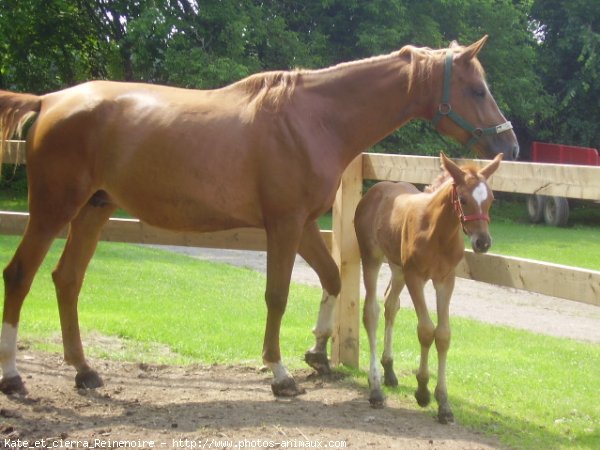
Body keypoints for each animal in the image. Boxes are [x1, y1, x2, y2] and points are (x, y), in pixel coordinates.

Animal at [356, 153, 502, 424]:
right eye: (463, 199)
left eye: (491, 199)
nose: (483, 242)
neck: (438, 234)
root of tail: (375, 191)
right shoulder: (416, 277)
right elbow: (425, 330)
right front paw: (422, 390)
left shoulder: (445, 280)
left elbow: (443, 335)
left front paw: (443, 403)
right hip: (372, 257)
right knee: (371, 311)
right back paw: (376, 388)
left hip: (398, 268)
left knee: (390, 305)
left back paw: (389, 370)